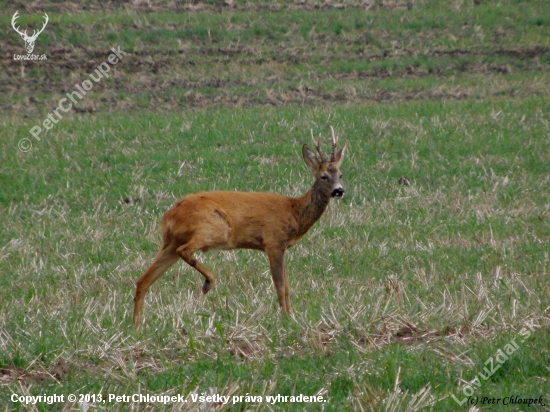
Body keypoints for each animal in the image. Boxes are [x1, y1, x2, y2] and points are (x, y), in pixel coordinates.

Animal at [133, 127, 344, 326]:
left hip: (170, 242)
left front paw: (291, 316)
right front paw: (285, 317)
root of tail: (169, 215)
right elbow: (280, 286)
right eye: (323, 176)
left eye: (341, 174)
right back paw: (208, 283)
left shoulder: (282, 246)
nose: (339, 191)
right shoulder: (273, 241)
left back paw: (136, 326)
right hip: (215, 228)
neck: (294, 212)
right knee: (184, 251)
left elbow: (288, 286)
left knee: (143, 280)